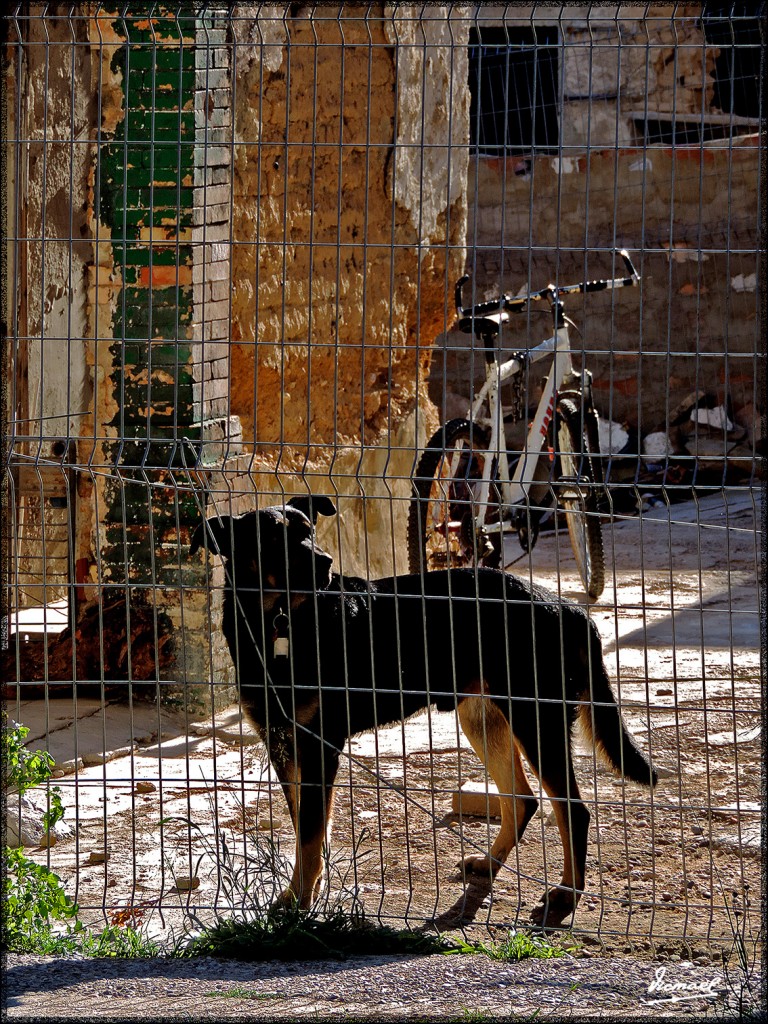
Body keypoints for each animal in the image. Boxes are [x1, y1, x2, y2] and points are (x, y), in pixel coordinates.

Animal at [191, 495, 655, 929]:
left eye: (309, 530)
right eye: (271, 540)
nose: (324, 563)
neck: (277, 621)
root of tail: (567, 607)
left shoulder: (319, 745)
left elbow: (308, 833)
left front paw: (300, 905)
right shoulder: (282, 743)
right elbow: (308, 829)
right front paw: (303, 894)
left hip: (534, 718)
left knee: (572, 810)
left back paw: (566, 895)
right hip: (484, 719)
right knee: (522, 800)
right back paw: (489, 865)